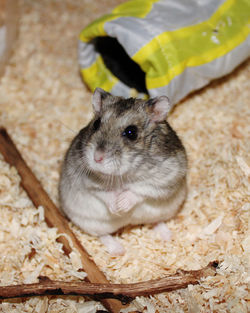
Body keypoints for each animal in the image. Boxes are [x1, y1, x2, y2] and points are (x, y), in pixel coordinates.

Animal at [59, 88, 188, 254]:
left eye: (131, 132)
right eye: (96, 124)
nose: (97, 158)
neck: (124, 174)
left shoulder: (165, 179)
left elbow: (140, 191)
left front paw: (122, 205)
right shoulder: (87, 181)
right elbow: (103, 193)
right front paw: (117, 208)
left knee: (156, 222)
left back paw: (168, 236)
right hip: (89, 222)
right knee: (103, 235)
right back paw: (119, 250)